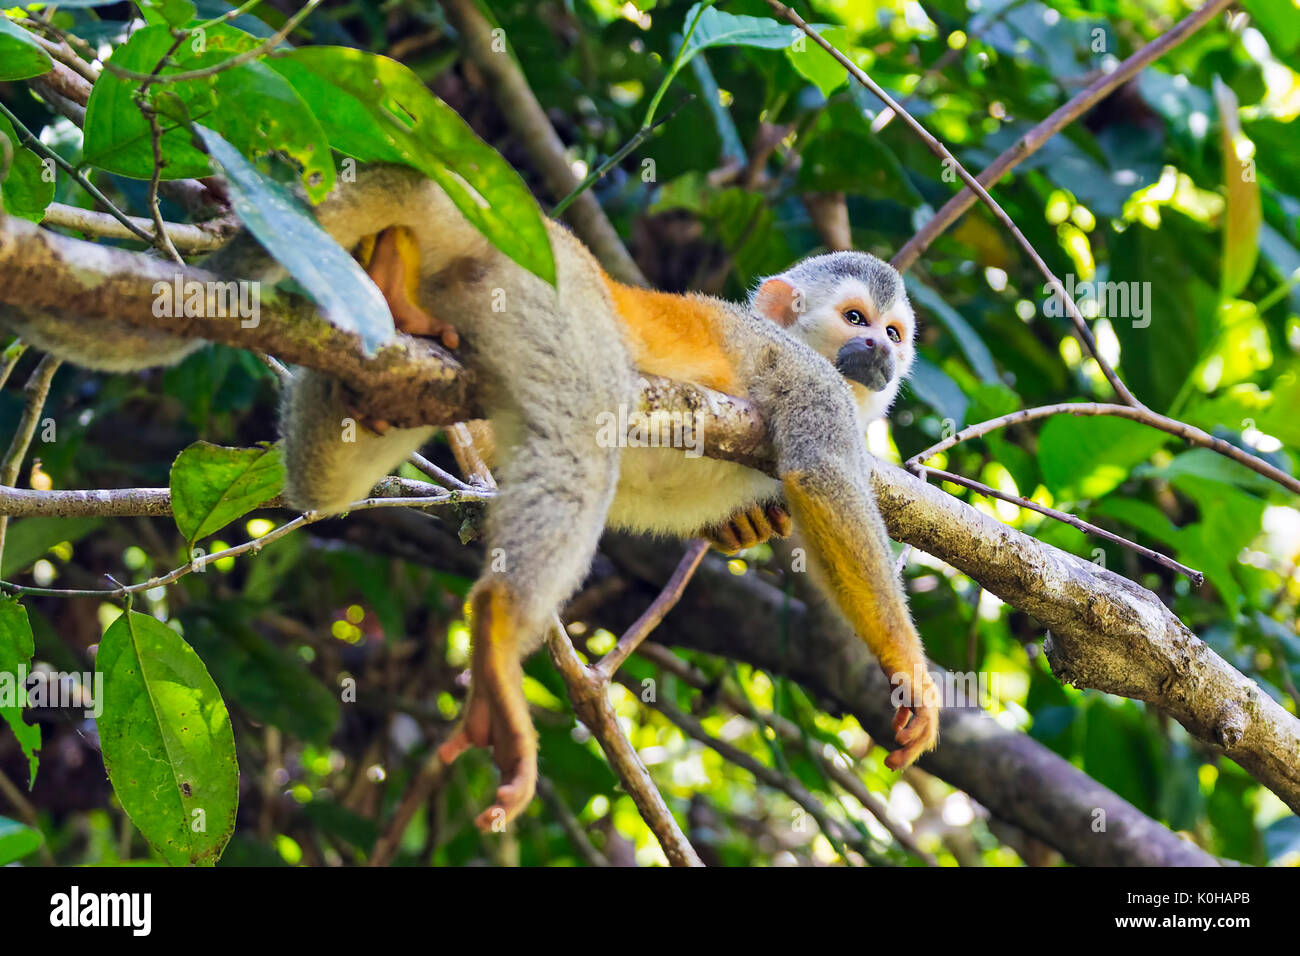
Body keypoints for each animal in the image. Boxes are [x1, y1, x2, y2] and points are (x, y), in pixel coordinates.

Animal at [0, 164, 935, 832]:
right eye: (855, 321)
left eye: (894, 334)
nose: (882, 356)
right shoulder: (803, 372)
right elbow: (819, 470)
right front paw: (907, 671)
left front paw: (751, 521)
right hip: (555, 298)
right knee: (585, 421)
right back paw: (495, 626)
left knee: (328, 478)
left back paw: (390, 289)